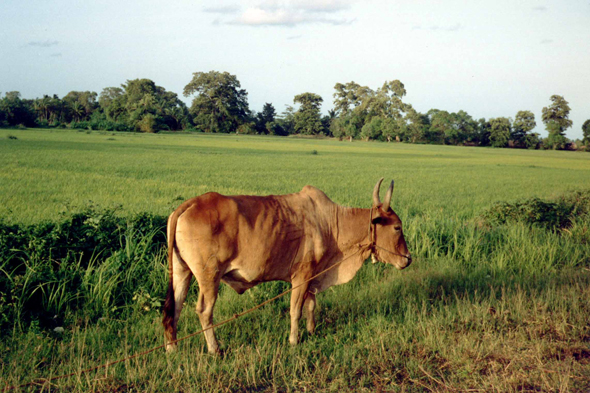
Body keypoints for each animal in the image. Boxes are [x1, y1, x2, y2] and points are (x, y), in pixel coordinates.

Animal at [162, 178, 412, 352]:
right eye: (397, 227)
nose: (407, 258)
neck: (332, 223)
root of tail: (189, 204)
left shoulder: (313, 276)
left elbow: (310, 305)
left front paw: (311, 331)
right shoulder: (301, 275)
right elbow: (295, 310)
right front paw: (294, 340)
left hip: (182, 271)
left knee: (175, 307)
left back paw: (173, 347)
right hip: (209, 276)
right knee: (204, 310)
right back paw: (215, 349)